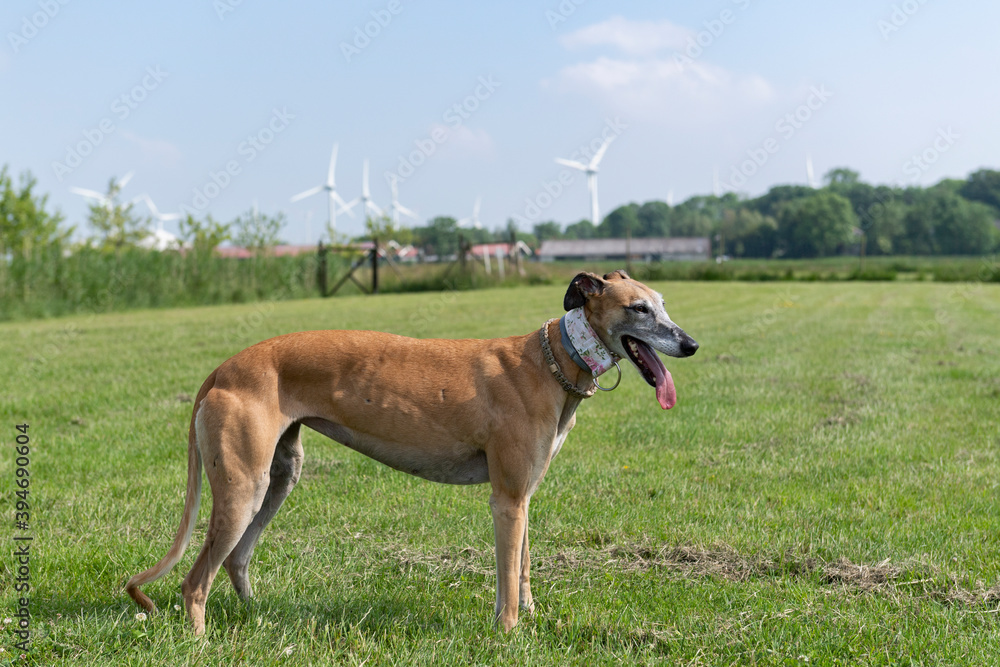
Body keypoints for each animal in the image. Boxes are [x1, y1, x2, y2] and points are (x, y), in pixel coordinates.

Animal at [127, 272, 696, 636]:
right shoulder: (507, 498)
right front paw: (509, 633)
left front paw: (532, 619)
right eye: (639, 308)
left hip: (278, 477)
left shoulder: (524, 493)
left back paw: (259, 618)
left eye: (664, 303)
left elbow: (523, 567)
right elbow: (507, 578)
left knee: (236, 558)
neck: (551, 360)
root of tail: (221, 370)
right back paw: (201, 640)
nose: (691, 344)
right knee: (193, 582)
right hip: (243, 486)